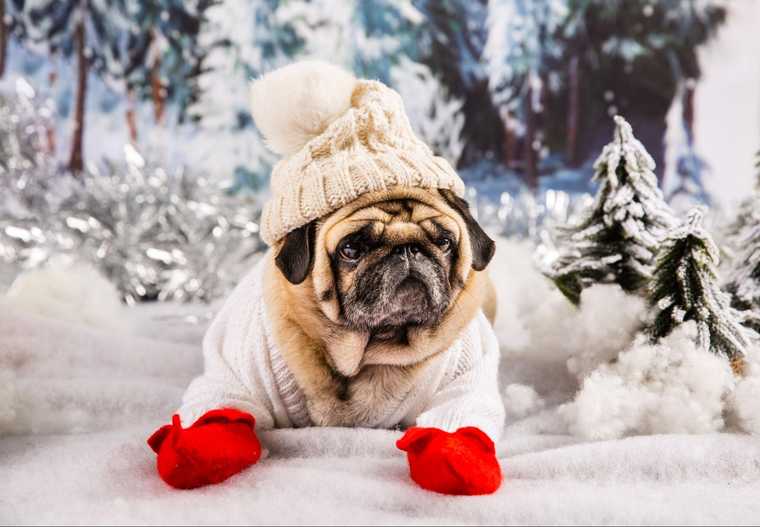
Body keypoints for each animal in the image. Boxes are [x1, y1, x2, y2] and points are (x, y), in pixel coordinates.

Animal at [147, 60, 504, 496]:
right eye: (352, 248)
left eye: (443, 242)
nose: (407, 249)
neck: (370, 352)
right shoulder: (237, 375)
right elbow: (220, 406)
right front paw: (196, 450)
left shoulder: (465, 374)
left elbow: (461, 416)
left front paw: (457, 457)